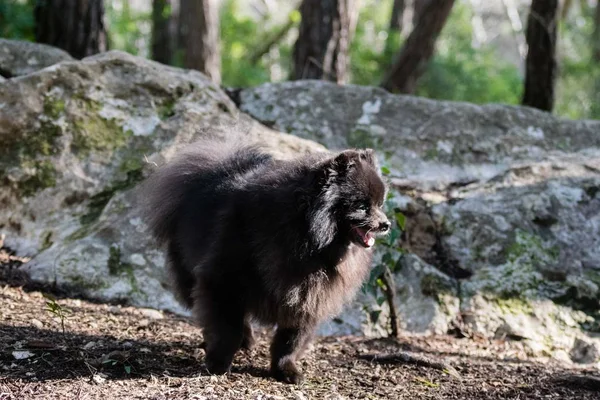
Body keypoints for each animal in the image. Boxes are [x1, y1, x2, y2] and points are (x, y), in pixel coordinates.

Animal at [139, 138, 392, 384]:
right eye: (362, 206)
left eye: (380, 204)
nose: (386, 224)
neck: (307, 237)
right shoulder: (221, 278)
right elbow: (226, 328)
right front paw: (218, 363)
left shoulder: (309, 295)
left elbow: (291, 339)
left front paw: (286, 370)